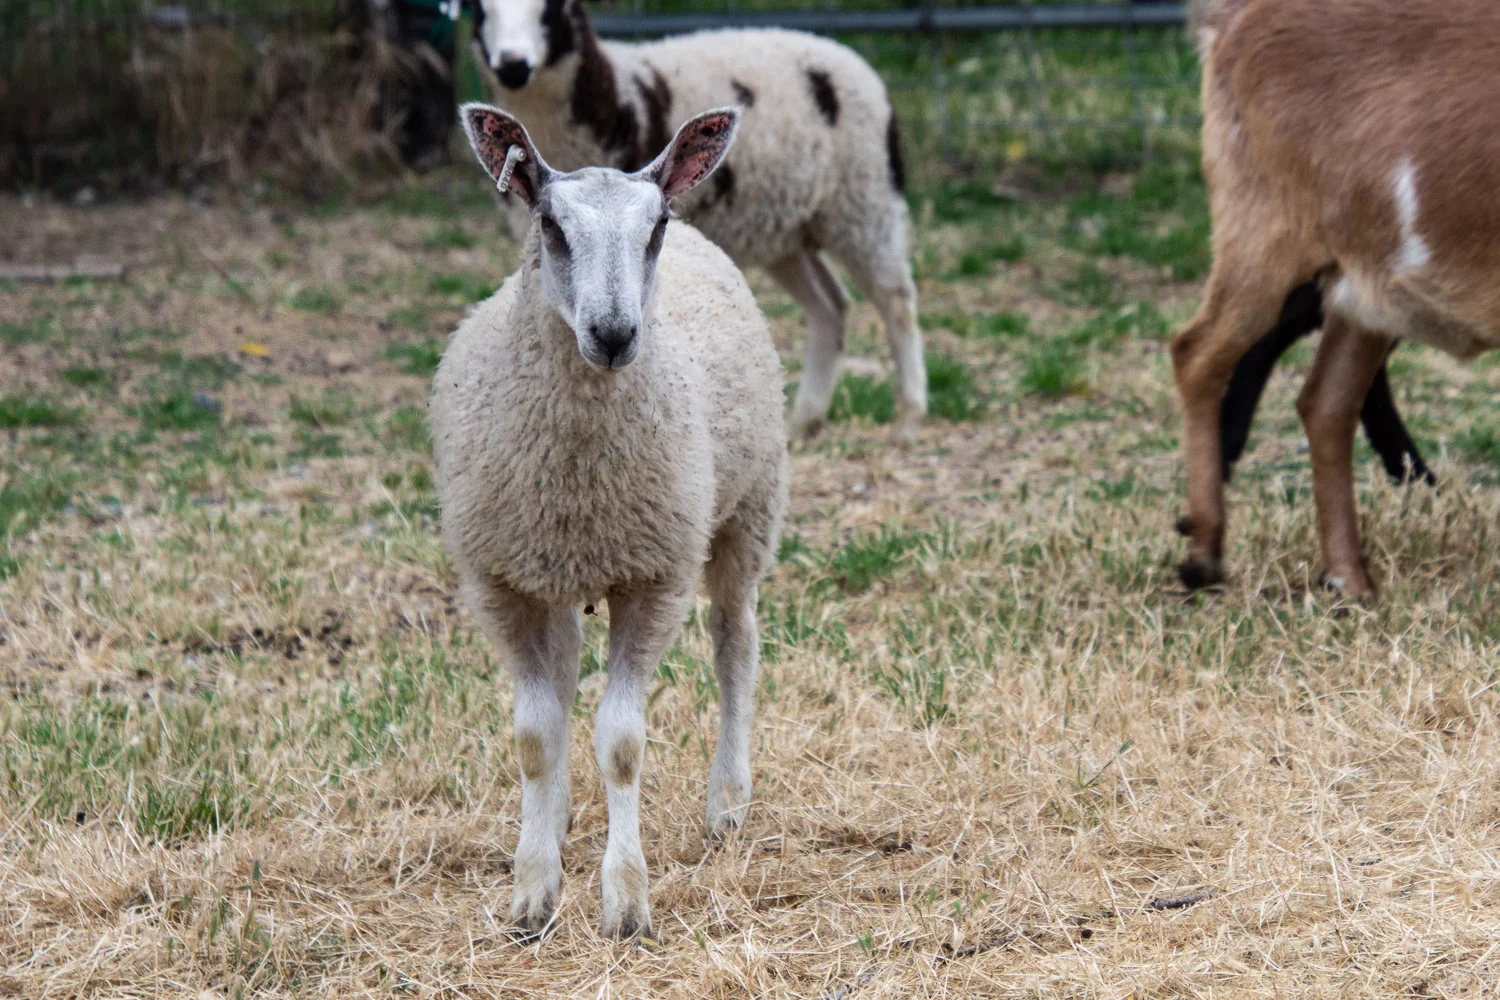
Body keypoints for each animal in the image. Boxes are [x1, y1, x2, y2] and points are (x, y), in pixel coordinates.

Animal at [430, 103, 788, 939]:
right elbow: (534, 736)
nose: (616, 333)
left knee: (735, 644)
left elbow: (622, 744)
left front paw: (625, 901)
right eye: (549, 225)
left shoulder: (652, 578)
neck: (577, 477)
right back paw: (557, 817)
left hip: (746, 511)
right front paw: (532, 892)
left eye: (654, 227)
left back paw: (727, 801)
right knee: (562, 680)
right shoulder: (501, 581)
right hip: (552, 570)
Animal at [469, 0, 927, 440]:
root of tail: (848, 54)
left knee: (896, 300)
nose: (512, 65)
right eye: (481, 9)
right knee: (830, 304)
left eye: (550, 9)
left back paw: (908, 420)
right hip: (787, 233)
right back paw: (803, 423)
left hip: (864, 203)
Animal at [1173, 0, 1500, 597]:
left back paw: (1348, 581)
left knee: (1326, 402)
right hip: (1263, 227)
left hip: (1367, 282)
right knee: (1198, 353)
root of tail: (1234, 17)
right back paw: (1205, 553)